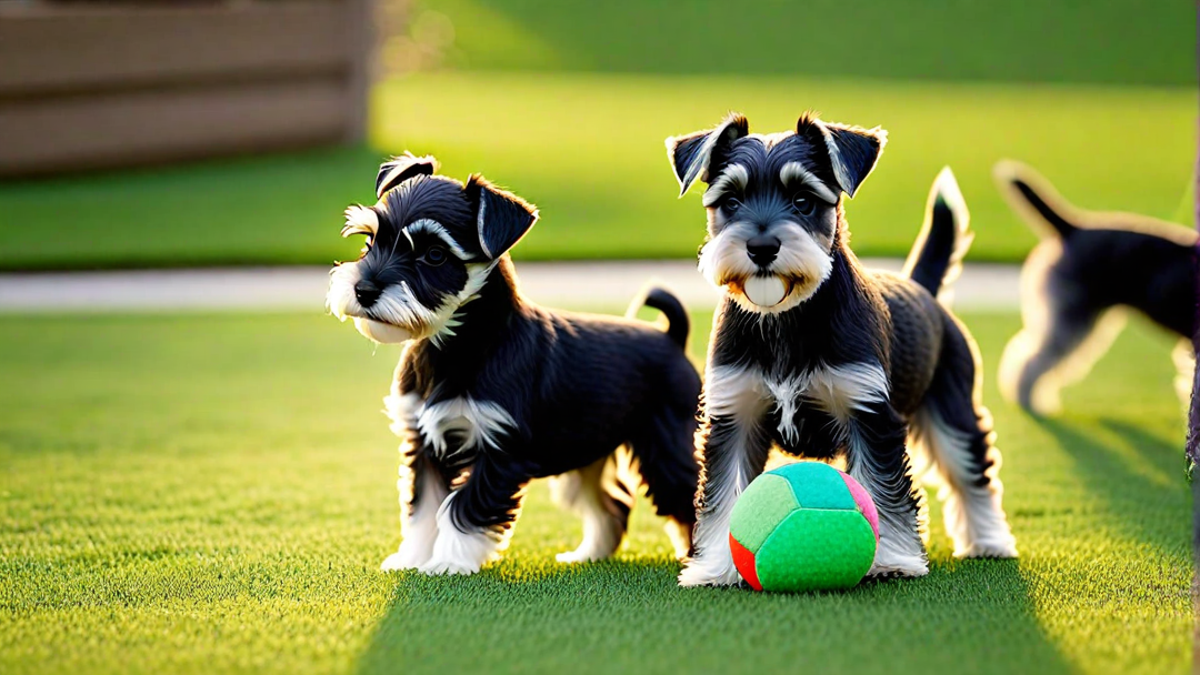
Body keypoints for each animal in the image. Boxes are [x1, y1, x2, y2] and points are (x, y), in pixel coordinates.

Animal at [328, 153, 700, 571]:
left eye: (435, 254)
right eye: (370, 240)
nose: (363, 289)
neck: (455, 346)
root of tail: (671, 337)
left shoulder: (500, 448)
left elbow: (461, 508)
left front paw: (448, 563)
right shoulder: (424, 442)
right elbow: (422, 509)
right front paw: (412, 559)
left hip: (665, 449)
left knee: (694, 499)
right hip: (586, 453)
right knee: (611, 503)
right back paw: (586, 554)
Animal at [662, 112, 1017, 586]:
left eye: (803, 200)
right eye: (731, 202)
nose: (761, 248)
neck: (786, 318)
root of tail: (922, 290)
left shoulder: (869, 414)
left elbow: (882, 487)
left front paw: (890, 561)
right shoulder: (733, 416)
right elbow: (723, 493)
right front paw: (717, 565)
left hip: (952, 407)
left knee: (972, 472)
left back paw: (989, 541)